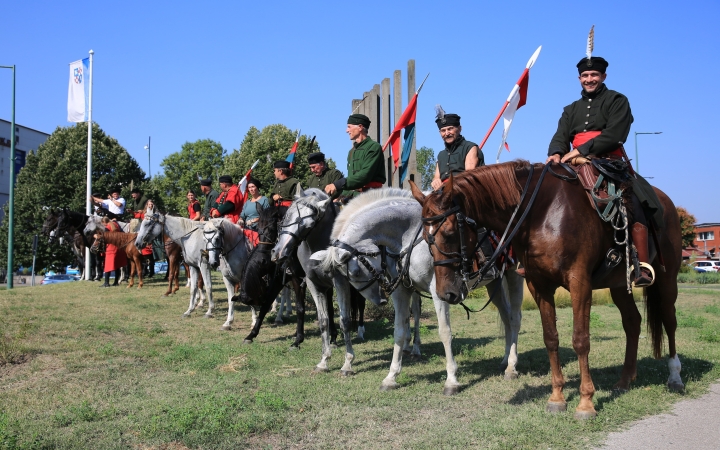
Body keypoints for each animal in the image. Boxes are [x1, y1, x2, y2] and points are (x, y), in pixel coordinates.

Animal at [320, 188, 524, 392]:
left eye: (355, 272)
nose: (381, 300)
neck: (410, 238)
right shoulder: (401, 292)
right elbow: (399, 331)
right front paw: (391, 377)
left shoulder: (439, 293)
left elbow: (445, 332)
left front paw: (451, 380)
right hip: (494, 285)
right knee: (506, 317)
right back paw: (505, 360)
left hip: (515, 276)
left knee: (514, 318)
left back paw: (512, 367)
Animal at [410, 160, 680, 420]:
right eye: (425, 237)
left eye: (449, 232)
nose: (446, 293)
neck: (542, 213)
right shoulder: (539, 286)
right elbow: (551, 338)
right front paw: (557, 398)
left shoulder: (580, 283)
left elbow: (580, 339)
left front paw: (585, 403)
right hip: (619, 286)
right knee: (632, 322)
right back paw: (625, 380)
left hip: (667, 280)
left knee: (669, 321)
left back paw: (675, 376)